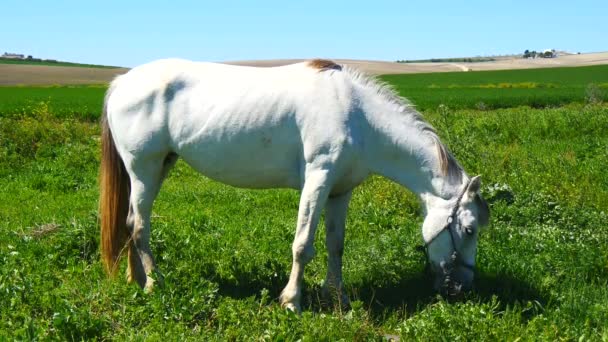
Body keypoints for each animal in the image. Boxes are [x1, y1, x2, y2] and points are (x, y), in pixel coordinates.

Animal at [100, 59, 490, 312]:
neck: (358, 116)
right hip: (144, 169)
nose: (463, 287)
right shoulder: (318, 179)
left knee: (131, 222)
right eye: (469, 229)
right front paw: (291, 301)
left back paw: (136, 280)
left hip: (157, 168)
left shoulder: (340, 190)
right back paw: (155, 283)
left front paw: (338, 298)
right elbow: (303, 245)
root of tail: (121, 83)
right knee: (140, 226)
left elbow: (336, 245)